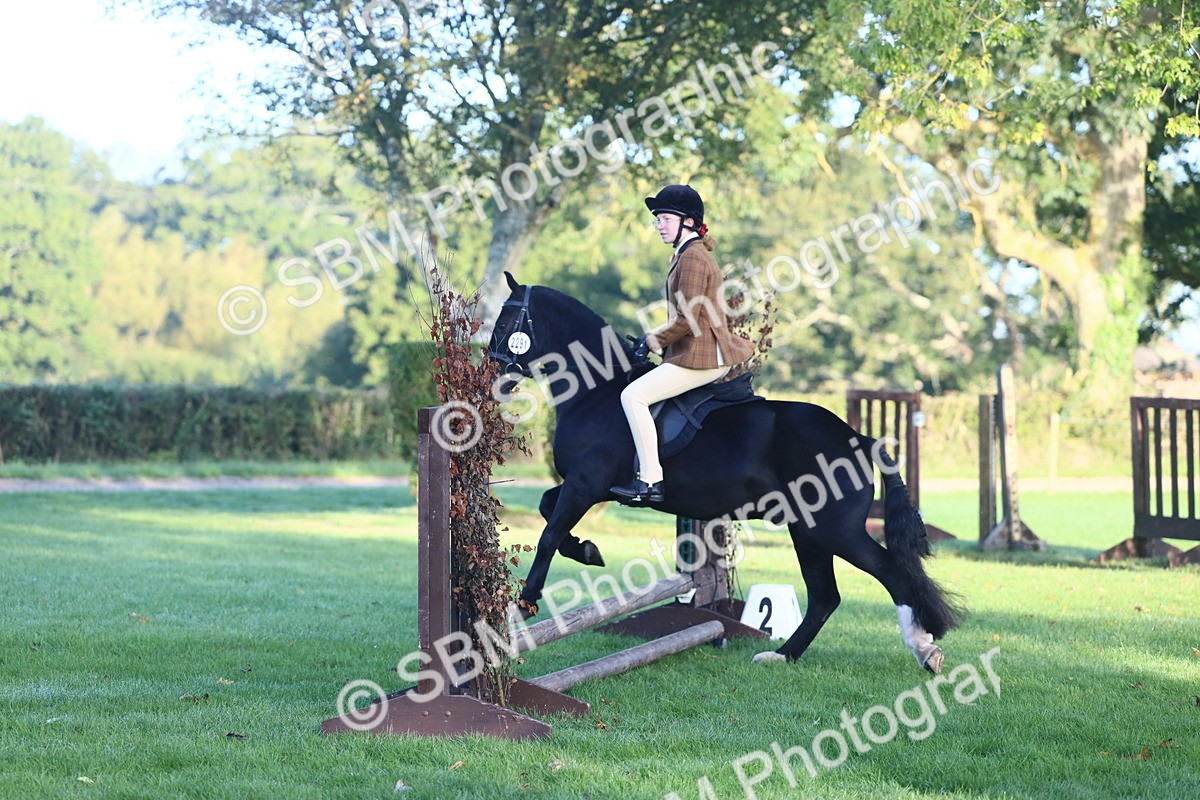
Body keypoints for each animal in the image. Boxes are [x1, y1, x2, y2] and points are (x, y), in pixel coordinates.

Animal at [486, 272, 960, 671]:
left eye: (506, 318)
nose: (492, 373)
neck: (595, 391)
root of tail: (859, 438)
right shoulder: (587, 487)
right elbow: (546, 507)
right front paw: (587, 550)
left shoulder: (586, 485)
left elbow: (549, 532)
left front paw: (527, 601)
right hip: (807, 530)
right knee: (826, 595)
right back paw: (781, 655)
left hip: (834, 529)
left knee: (891, 575)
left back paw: (924, 650)